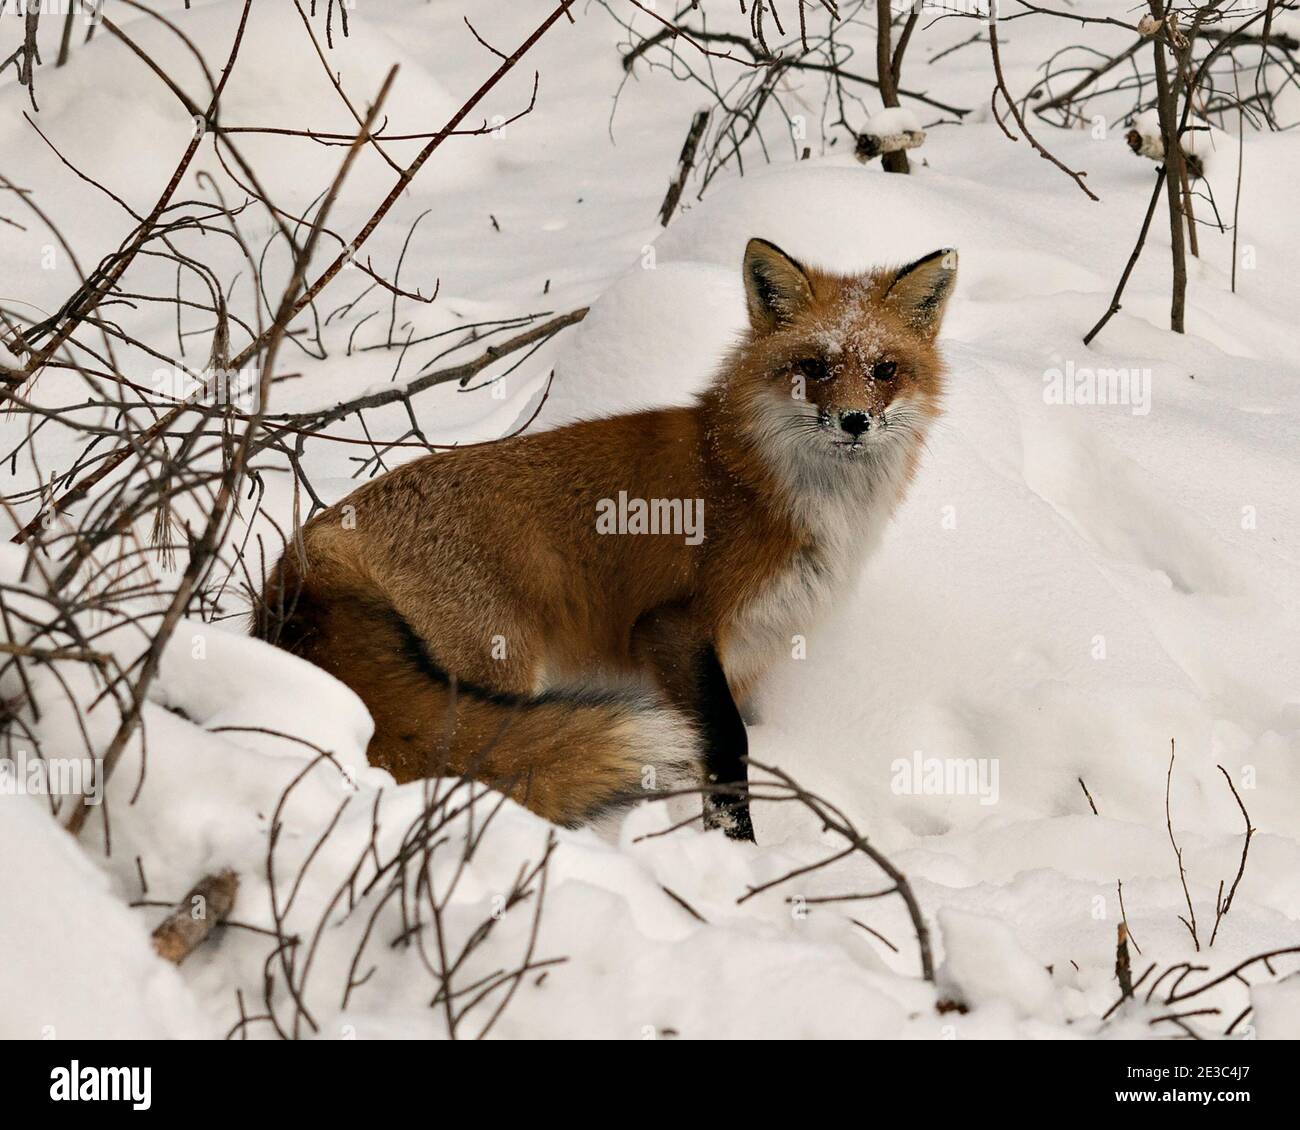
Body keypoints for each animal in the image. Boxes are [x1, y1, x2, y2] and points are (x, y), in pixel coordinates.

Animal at [261, 237, 956, 837]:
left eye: (885, 369)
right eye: (813, 365)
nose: (854, 420)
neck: (766, 484)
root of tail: (308, 547)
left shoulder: (748, 649)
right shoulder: (674, 625)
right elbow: (727, 749)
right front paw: (738, 850)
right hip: (498, 665)